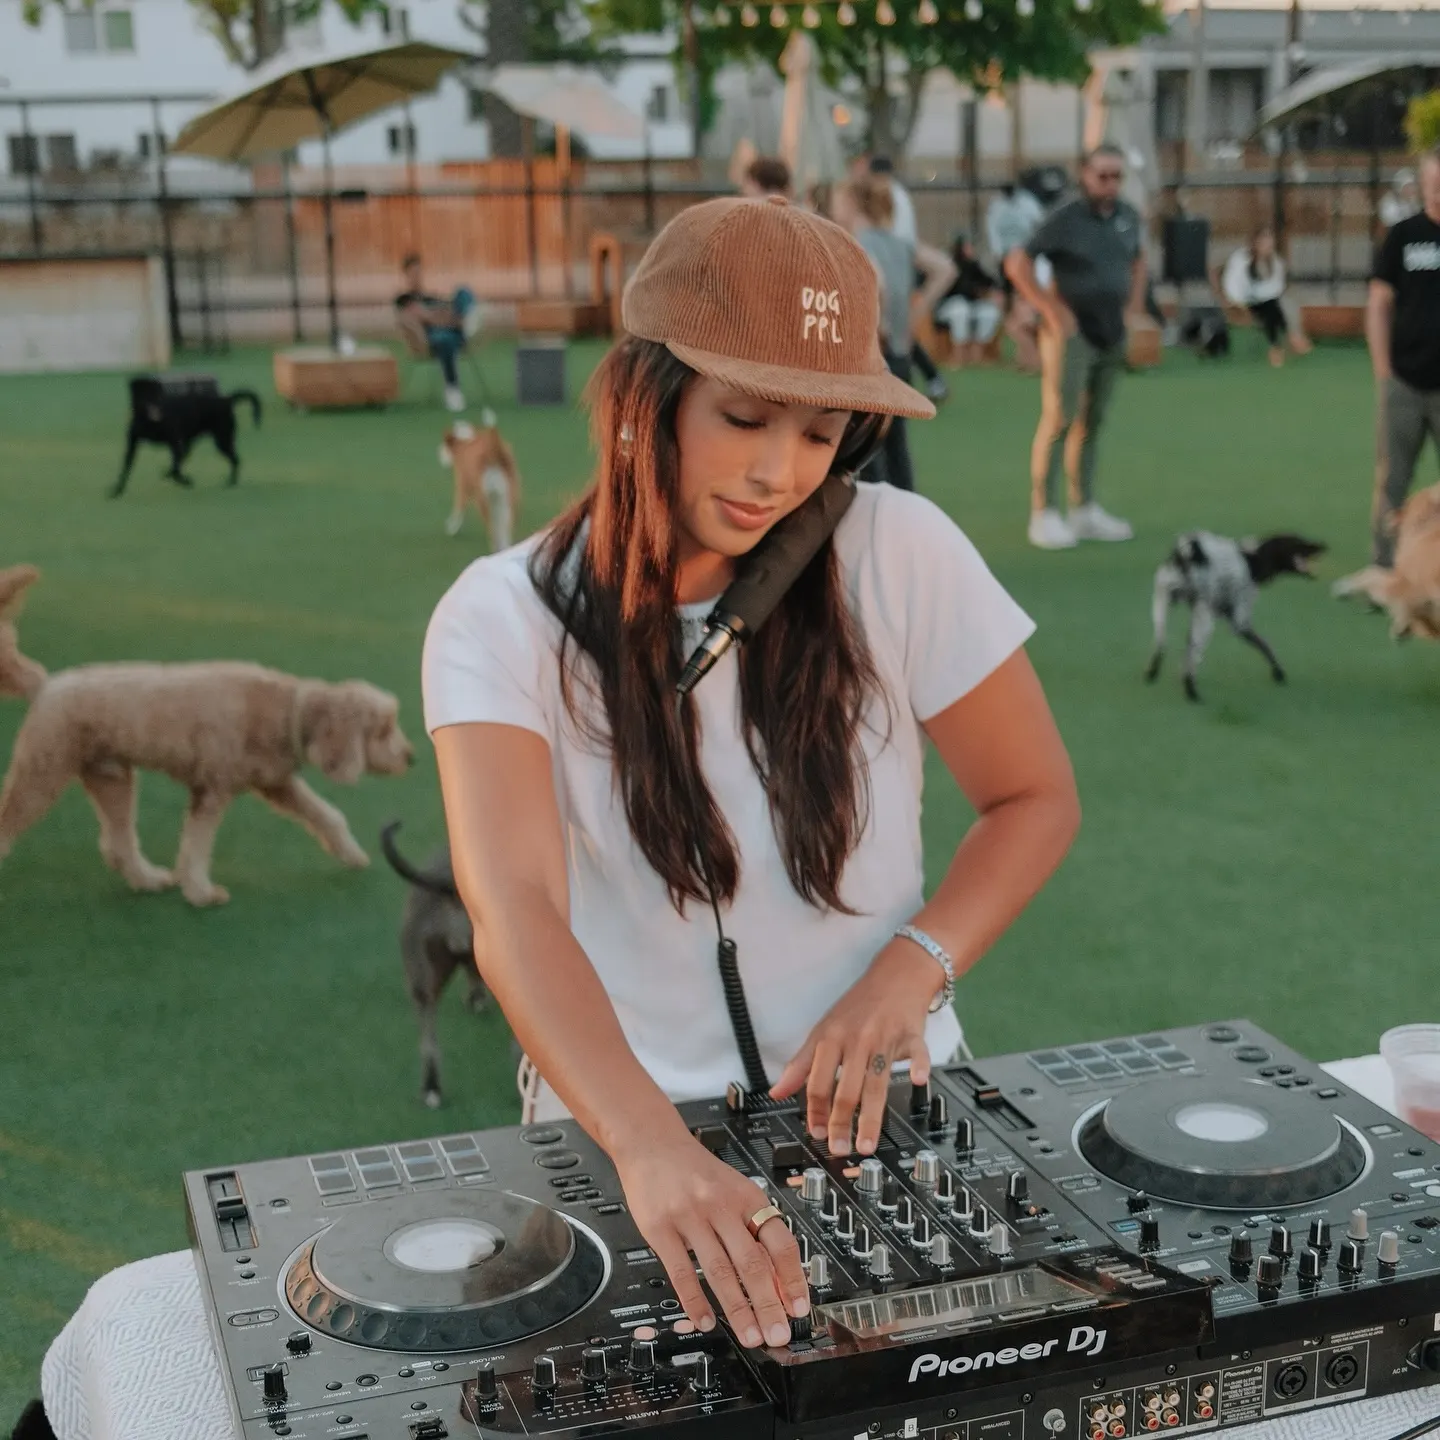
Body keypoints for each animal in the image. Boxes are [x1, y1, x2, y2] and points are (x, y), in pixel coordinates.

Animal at [1, 561, 417, 898]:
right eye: (383, 730)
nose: (411, 757)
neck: (286, 713)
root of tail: (46, 684)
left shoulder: (277, 782)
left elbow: (326, 814)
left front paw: (353, 854)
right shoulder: (211, 789)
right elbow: (197, 846)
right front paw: (200, 892)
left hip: (112, 778)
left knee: (119, 843)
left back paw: (148, 879)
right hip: (41, 773)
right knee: (11, 821)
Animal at [112, 374, 262, 498]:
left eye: (158, 393)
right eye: (146, 393)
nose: (159, 408)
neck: (149, 422)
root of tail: (226, 399)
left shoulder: (174, 442)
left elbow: (176, 469)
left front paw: (187, 481)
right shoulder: (132, 446)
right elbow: (124, 470)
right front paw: (116, 491)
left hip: (222, 440)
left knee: (235, 459)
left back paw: (231, 483)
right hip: (195, 440)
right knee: (185, 458)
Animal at [440, 417, 527, 555]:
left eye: (443, 444)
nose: (438, 453)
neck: (465, 442)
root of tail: (493, 449)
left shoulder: (462, 487)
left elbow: (458, 509)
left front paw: (452, 528)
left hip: (483, 501)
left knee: (492, 532)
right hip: (510, 499)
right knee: (505, 530)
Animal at [1146, 535, 1324, 702]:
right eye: (1298, 542)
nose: (1323, 546)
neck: (1253, 560)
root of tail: (1190, 550)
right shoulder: (1241, 624)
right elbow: (1266, 646)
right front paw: (1278, 672)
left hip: (1161, 605)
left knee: (1161, 644)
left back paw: (1153, 673)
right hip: (1205, 622)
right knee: (1190, 655)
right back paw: (1191, 692)